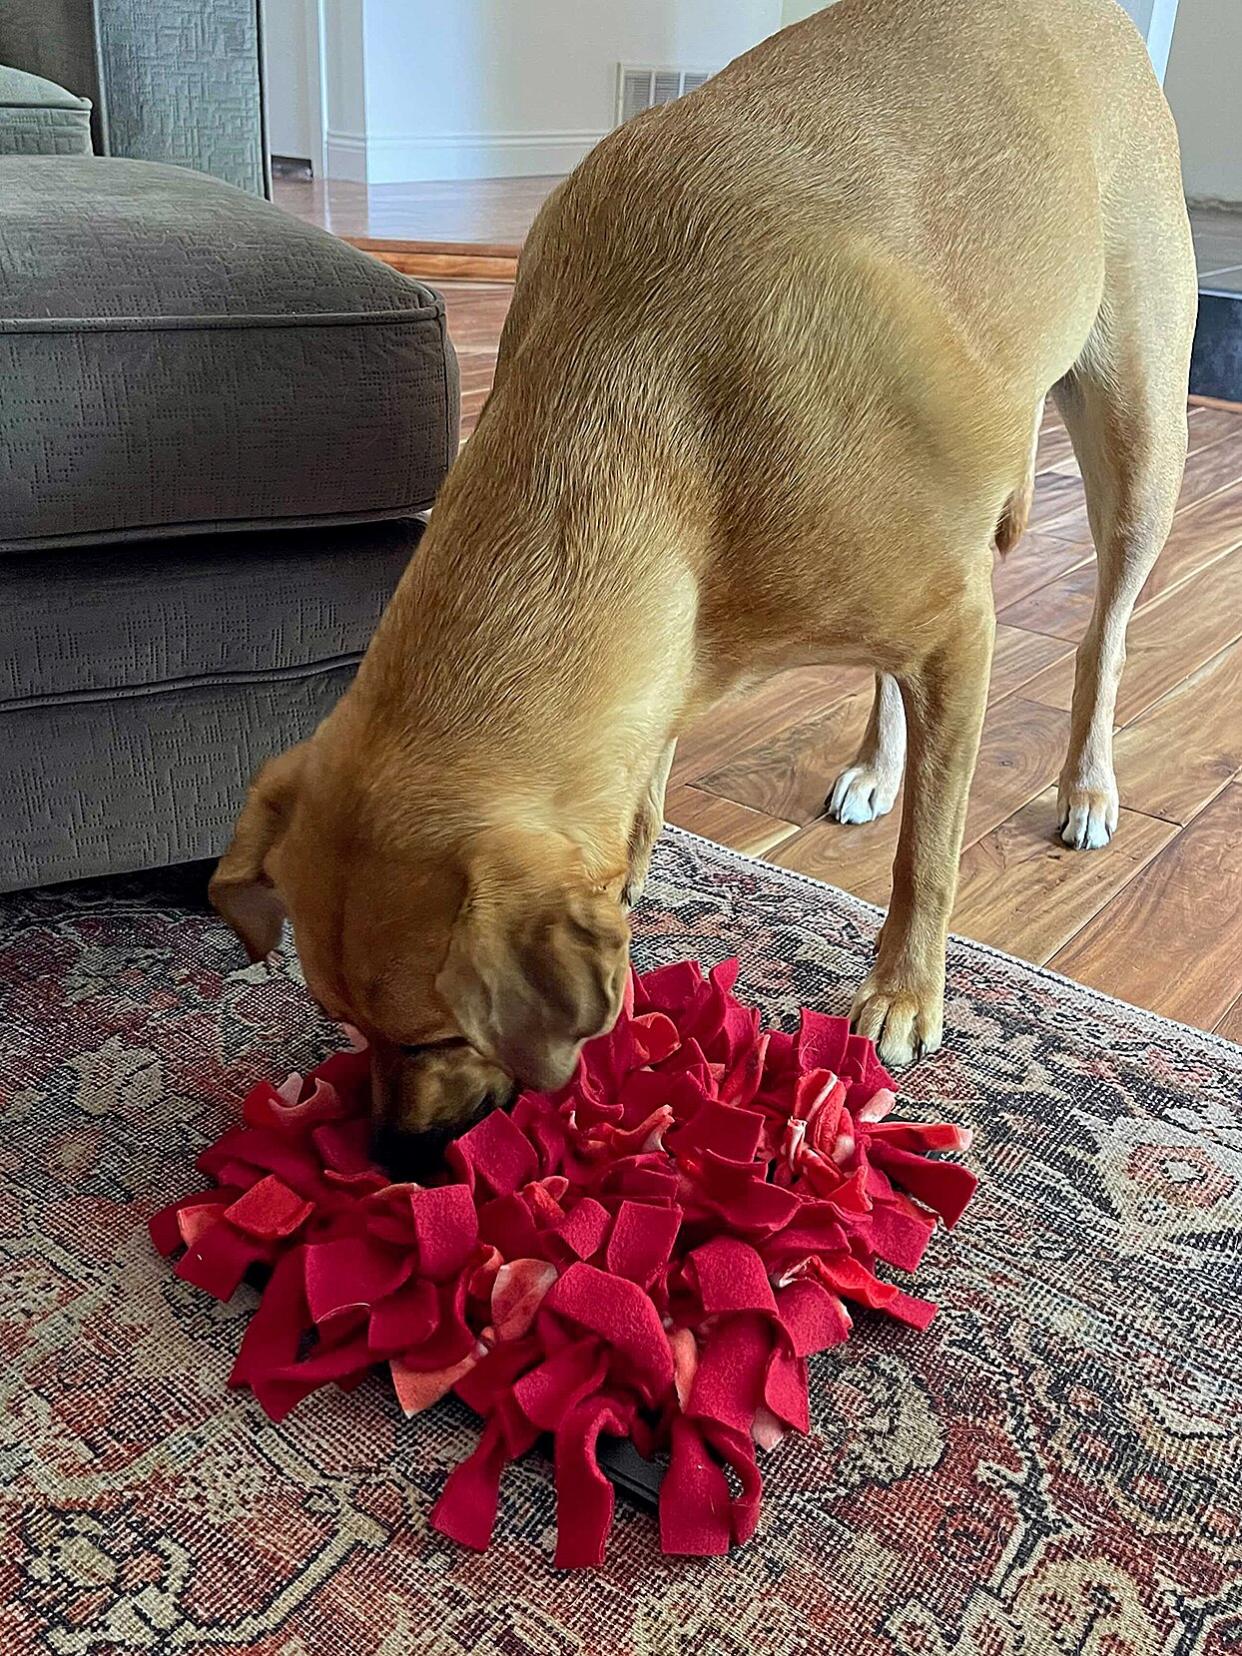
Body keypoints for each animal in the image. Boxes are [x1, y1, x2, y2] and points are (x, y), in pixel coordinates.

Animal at [211, 0, 1198, 1165]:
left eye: (436, 1035)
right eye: (345, 1025)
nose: (392, 1157)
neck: (645, 410)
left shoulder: (961, 628)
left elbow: (931, 852)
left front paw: (906, 992)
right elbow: (653, 762)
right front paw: (635, 865)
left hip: (1138, 436)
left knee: (1104, 636)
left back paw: (1086, 785)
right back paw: (877, 763)